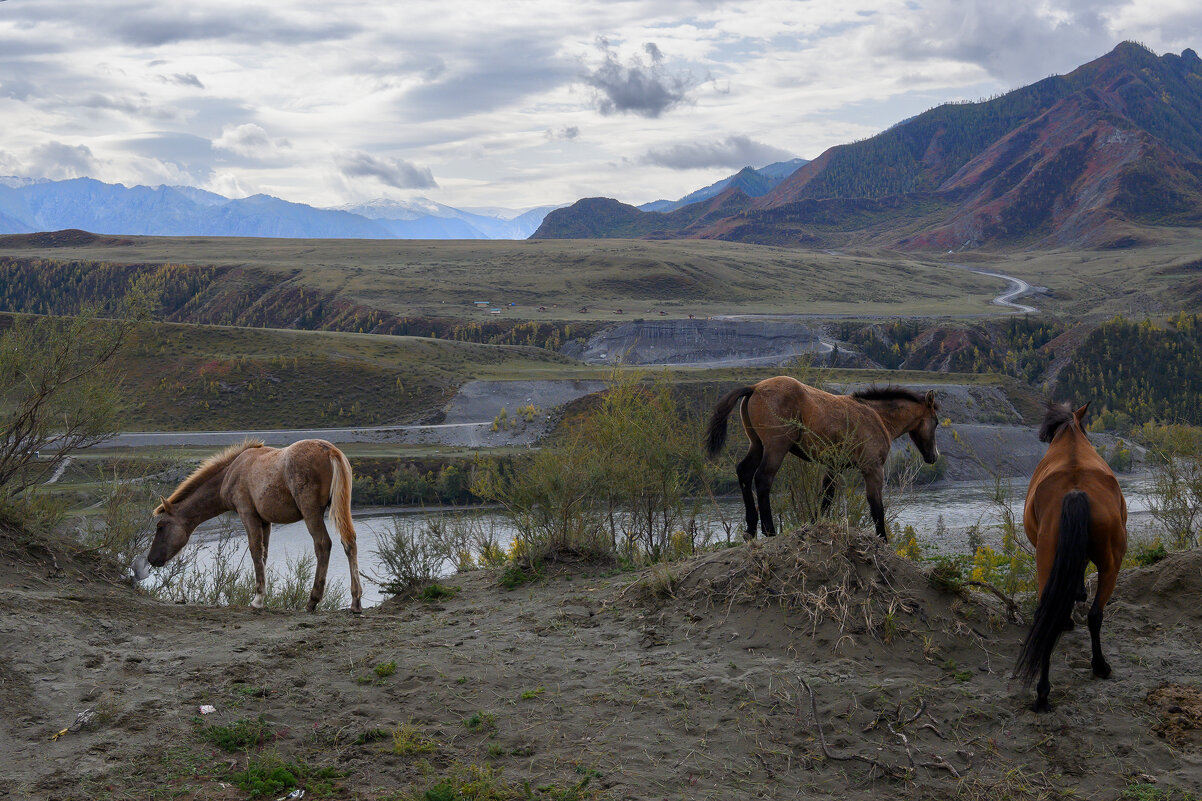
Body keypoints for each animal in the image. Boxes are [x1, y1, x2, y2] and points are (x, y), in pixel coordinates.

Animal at [146, 437, 360, 610]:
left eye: (160, 527)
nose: (151, 558)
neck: (230, 473)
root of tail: (330, 451)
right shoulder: (265, 521)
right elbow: (264, 553)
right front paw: (262, 595)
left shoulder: (247, 514)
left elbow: (255, 550)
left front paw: (257, 599)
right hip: (341, 507)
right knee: (349, 542)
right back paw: (356, 602)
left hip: (311, 512)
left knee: (323, 544)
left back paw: (312, 601)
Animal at [701, 375, 937, 538]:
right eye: (935, 422)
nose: (933, 456)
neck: (876, 416)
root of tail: (755, 388)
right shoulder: (872, 468)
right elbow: (876, 507)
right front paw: (883, 541)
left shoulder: (834, 466)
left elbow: (825, 497)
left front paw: (812, 526)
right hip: (776, 447)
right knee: (762, 478)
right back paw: (769, 530)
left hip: (757, 445)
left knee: (744, 472)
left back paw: (750, 530)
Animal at [1014, 401, 1125, 707]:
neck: (1071, 443)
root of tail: (1076, 490)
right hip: (1112, 564)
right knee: (1095, 614)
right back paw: (1098, 667)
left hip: (1047, 561)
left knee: (1049, 612)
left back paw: (1042, 690)